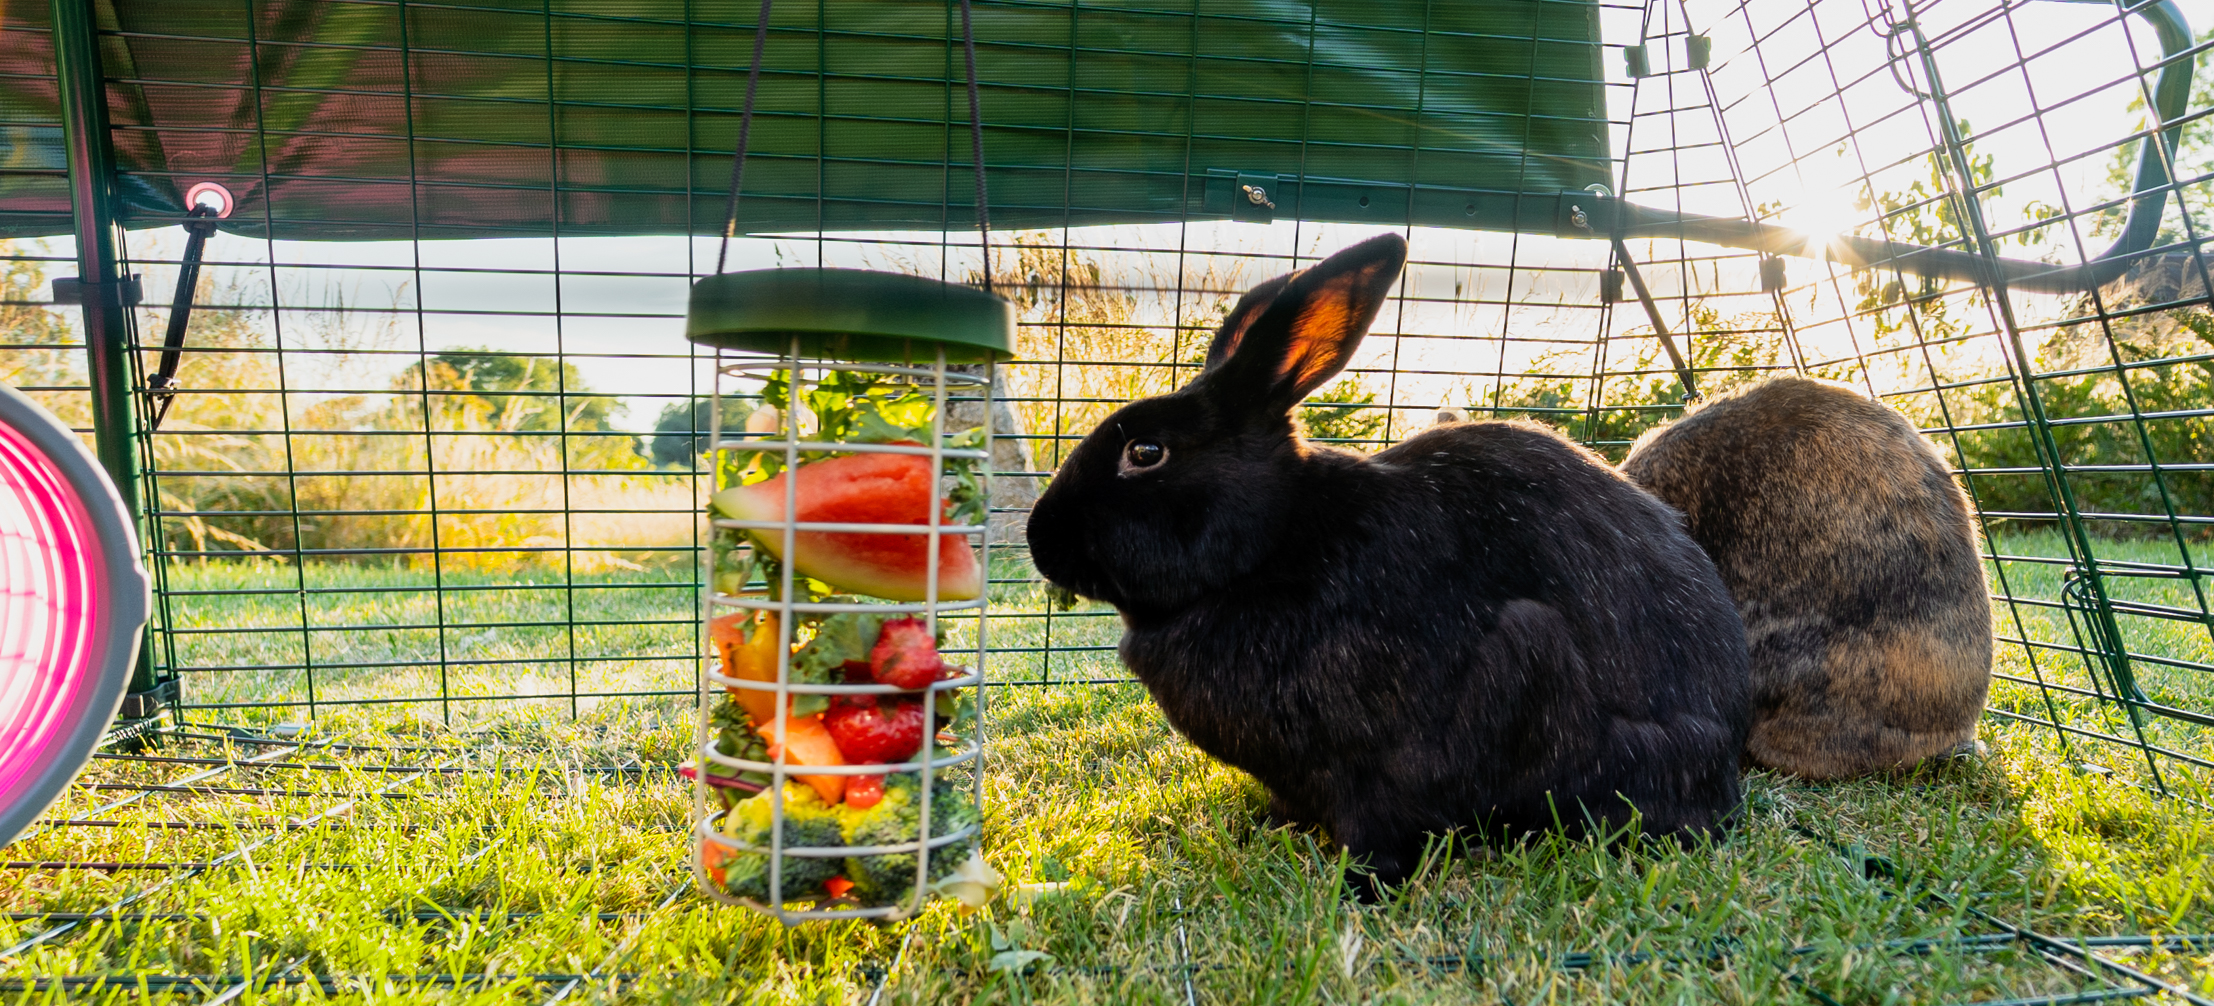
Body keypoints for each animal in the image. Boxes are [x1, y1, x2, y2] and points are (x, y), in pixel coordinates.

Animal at [1027, 233, 1753, 895]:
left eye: (1147, 453)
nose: (1039, 540)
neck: (1271, 544)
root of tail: (1725, 755)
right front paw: (1266, 829)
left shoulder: (1381, 768)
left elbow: (1383, 830)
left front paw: (1357, 888)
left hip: (1540, 668)